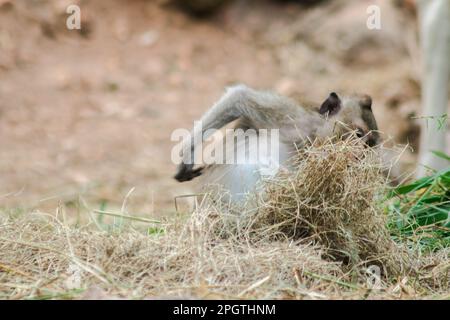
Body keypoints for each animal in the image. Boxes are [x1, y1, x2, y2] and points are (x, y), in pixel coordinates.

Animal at [174, 84, 378, 200]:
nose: (359, 153)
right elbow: (241, 97)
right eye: (358, 134)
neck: (311, 139)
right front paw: (187, 156)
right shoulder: (294, 119)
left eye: (368, 146)